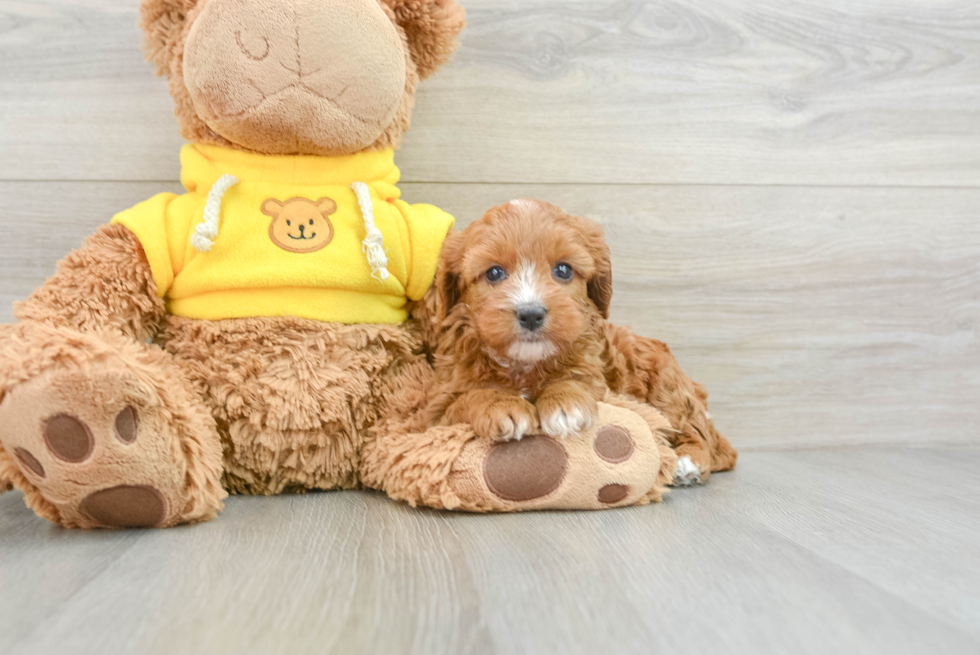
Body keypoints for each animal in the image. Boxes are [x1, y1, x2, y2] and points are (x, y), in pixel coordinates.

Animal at [424, 197, 608, 440]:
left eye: (563, 270)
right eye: (494, 273)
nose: (531, 315)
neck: (523, 364)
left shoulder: (595, 379)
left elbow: (578, 380)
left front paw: (566, 400)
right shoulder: (436, 413)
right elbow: (470, 397)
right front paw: (502, 405)